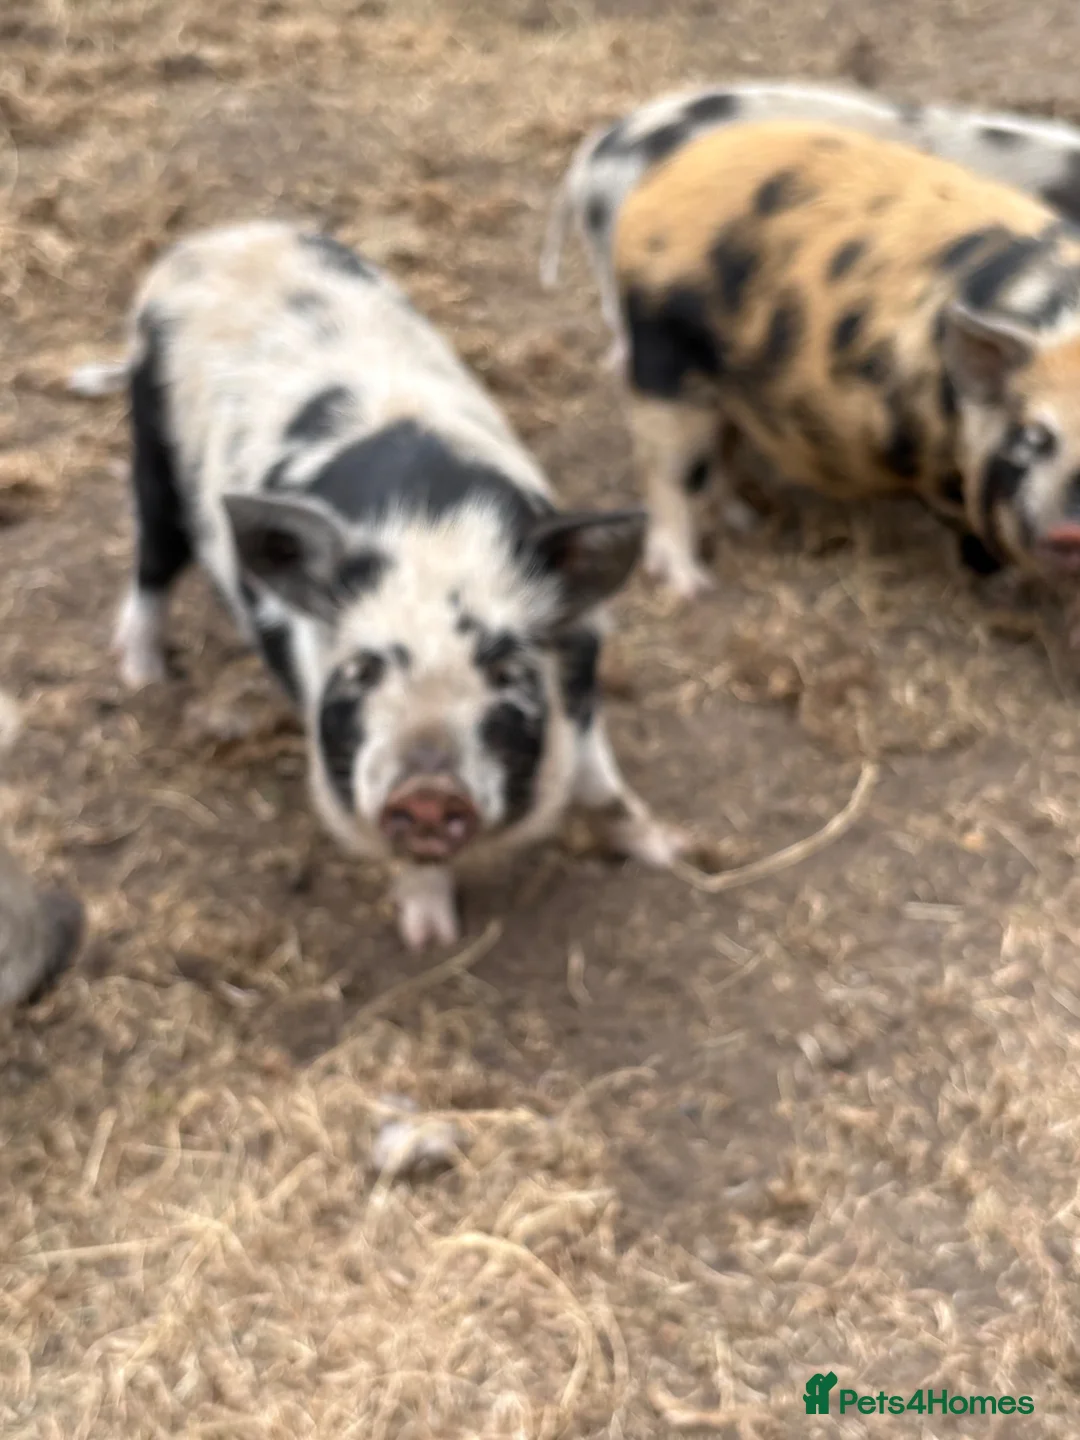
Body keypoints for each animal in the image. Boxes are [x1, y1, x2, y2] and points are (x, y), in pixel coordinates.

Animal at [70, 222, 683, 949]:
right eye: (362, 669)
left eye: (505, 669)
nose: (428, 792)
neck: (430, 529)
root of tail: (216, 239)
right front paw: (431, 938)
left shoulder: (582, 672)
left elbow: (598, 779)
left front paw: (667, 849)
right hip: (153, 452)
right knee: (152, 563)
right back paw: (143, 676)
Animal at [611, 120, 1080, 601]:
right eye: (1036, 437)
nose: (1070, 532)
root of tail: (653, 186)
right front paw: (1001, 584)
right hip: (661, 364)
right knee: (666, 473)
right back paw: (692, 586)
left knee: (718, 453)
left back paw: (747, 521)